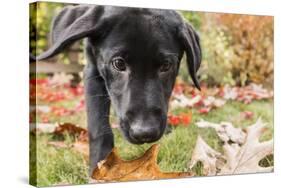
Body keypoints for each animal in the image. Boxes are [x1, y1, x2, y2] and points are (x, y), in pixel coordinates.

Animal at [37, 4, 200, 173]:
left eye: (166, 65)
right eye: (119, 64)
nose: (145, 133)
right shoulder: (92, 70)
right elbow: (98, 124)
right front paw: (100, 165)